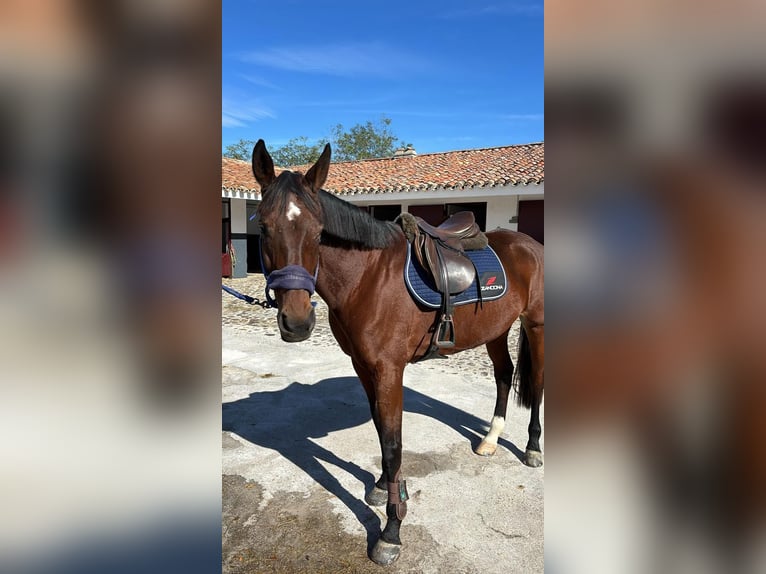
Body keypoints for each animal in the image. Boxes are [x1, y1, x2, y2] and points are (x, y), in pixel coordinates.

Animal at [252, 141, 544, 568]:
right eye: (262, 226)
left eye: (319, 232)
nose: (297, 321)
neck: (368, 278)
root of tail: (530, 245)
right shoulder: (363, 367)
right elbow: (380, 430)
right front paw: (381, 487)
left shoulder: (389, 370)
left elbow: (392, 444)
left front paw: (390, 531)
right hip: (496, 328)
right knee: (505, 375)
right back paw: (490, 439)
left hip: (536, 325)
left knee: (536, 383)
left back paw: (532, 449)